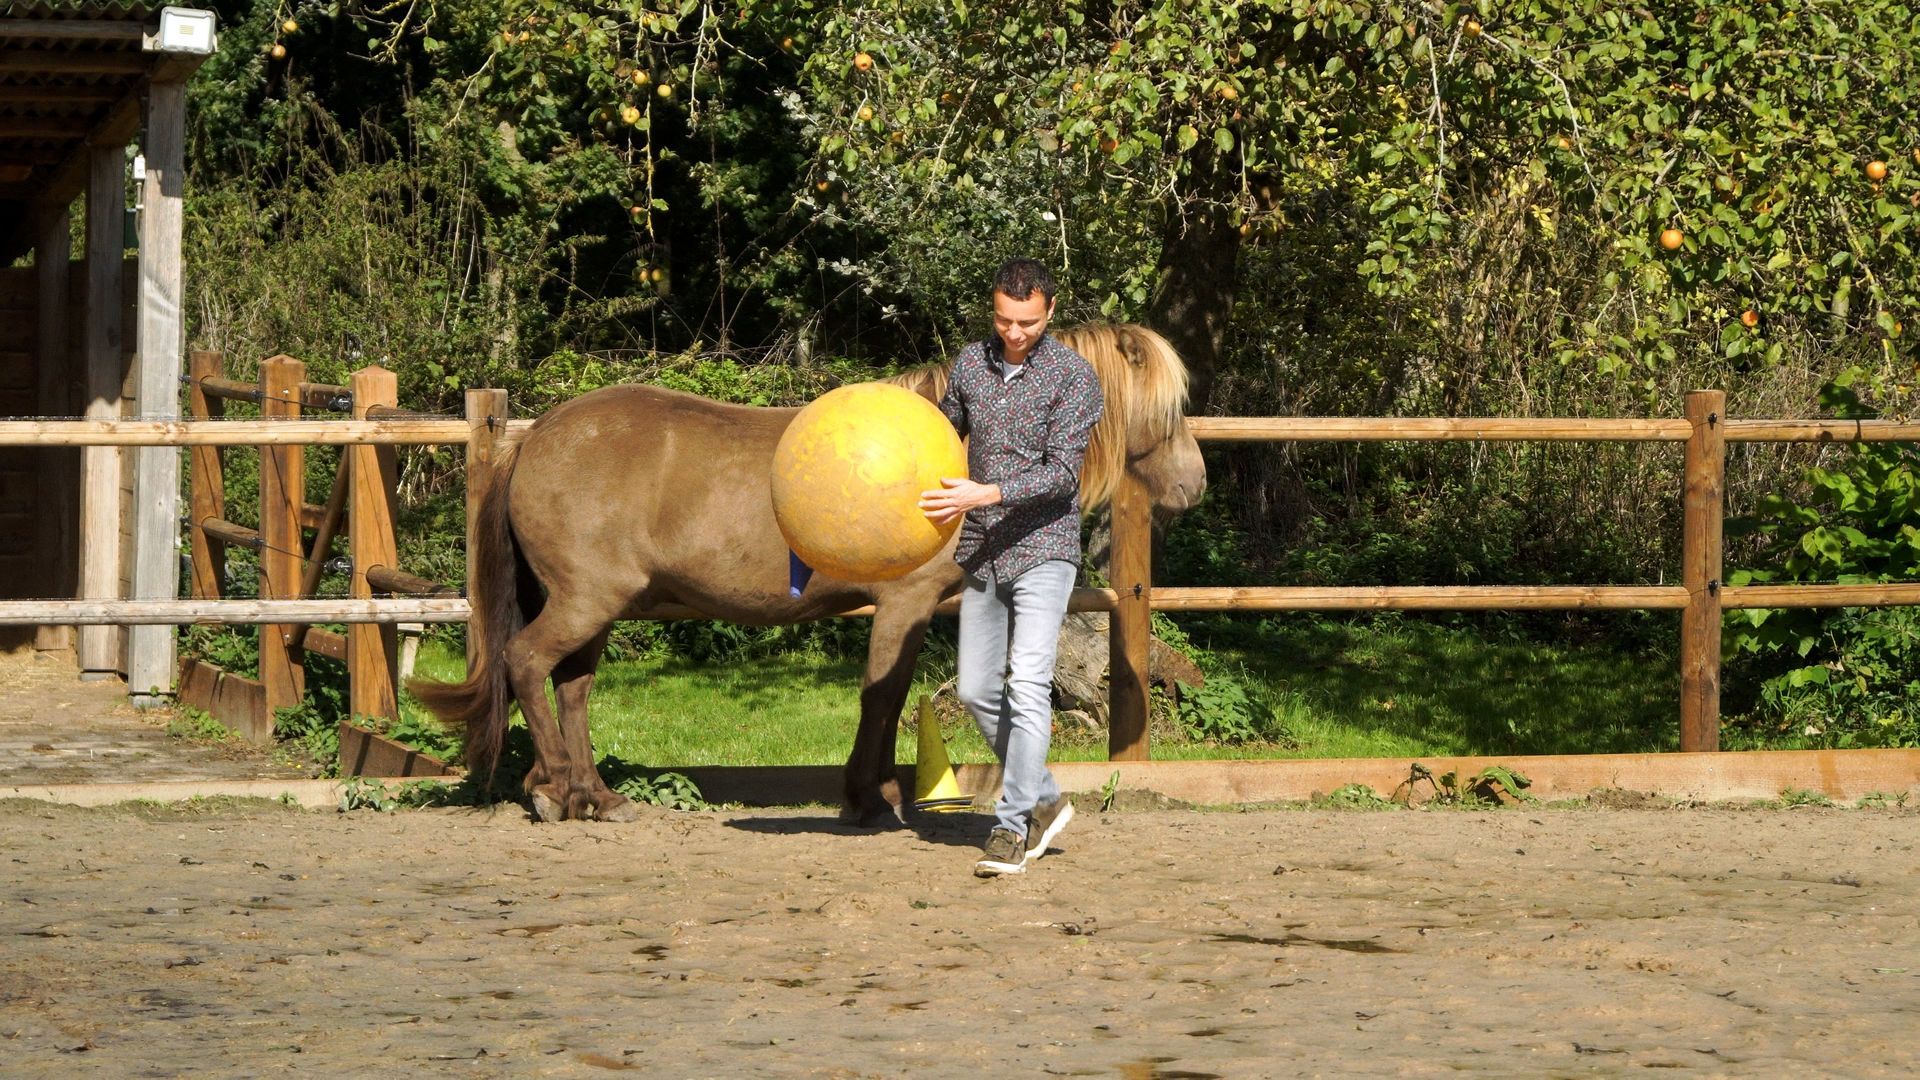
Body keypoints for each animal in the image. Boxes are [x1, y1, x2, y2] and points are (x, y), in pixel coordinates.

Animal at [409, 323, 1207, 824]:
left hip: (593, 607)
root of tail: (535, 439)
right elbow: (881, 697)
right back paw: (553, 789)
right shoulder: (905, 603)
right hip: (583, 602)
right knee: (526, 663)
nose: (1194, 484)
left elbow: (888, 696)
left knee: (571, 688)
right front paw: (874, 797)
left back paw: (594, 797)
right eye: (1168, 410)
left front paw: (872, 793)